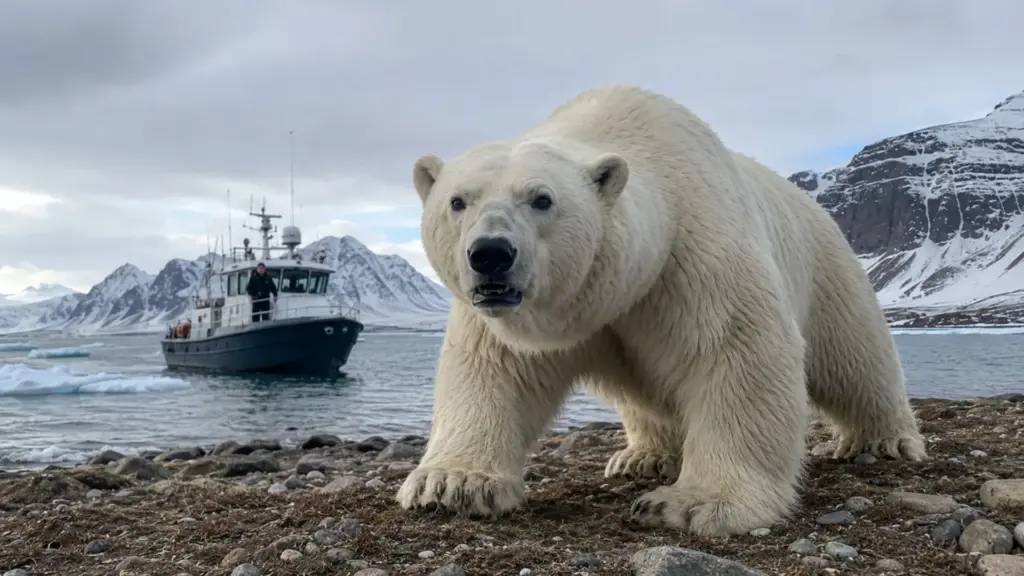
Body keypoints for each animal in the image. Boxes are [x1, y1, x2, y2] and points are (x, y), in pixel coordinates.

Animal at [396, 84, 927, 536]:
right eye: (457, 201)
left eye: (542, 199)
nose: (490, 254)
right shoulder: (512, 317)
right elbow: (492, 369)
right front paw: (454, 483)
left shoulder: (694, 253)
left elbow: (737, 352)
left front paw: (693, 503)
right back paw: (643, 457)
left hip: (825, 264)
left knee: (856, 354)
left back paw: (884, 440)